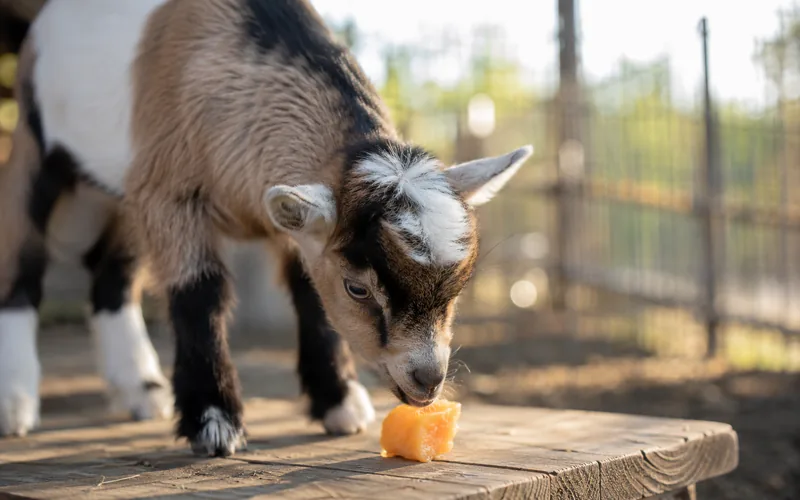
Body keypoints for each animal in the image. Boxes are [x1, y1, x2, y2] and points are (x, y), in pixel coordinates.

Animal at [0, 0, 533, 457]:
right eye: (357, 289)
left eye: (457, 288)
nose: (426, 380)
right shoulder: (170, 194)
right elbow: (199, 290)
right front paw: (215, 422)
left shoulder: (289, 226)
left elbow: (307, 294)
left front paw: (339, 403)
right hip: (35, 151)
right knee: (22, 264)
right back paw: (17, 404)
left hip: (122, 196)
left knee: (114, 277)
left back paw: (140, 391)